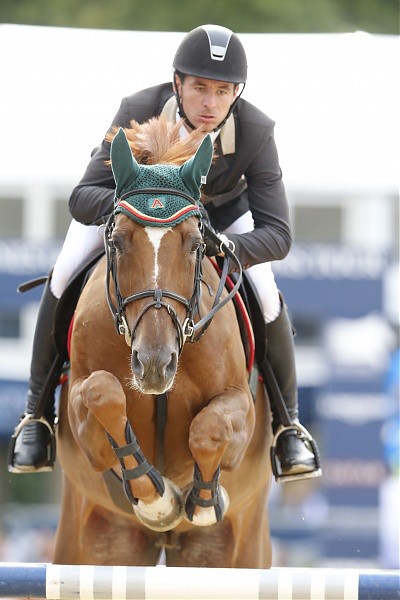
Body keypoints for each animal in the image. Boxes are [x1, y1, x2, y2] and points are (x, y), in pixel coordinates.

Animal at [53, 117, 274, 568]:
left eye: (196, 243)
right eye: (117, 241)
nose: (155, 364)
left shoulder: (240, 404)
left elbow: (209, 428)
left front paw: (202, 502)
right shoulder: (85, 417)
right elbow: (103, 392)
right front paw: (157, 499)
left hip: (235, 552)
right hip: (93, 544)